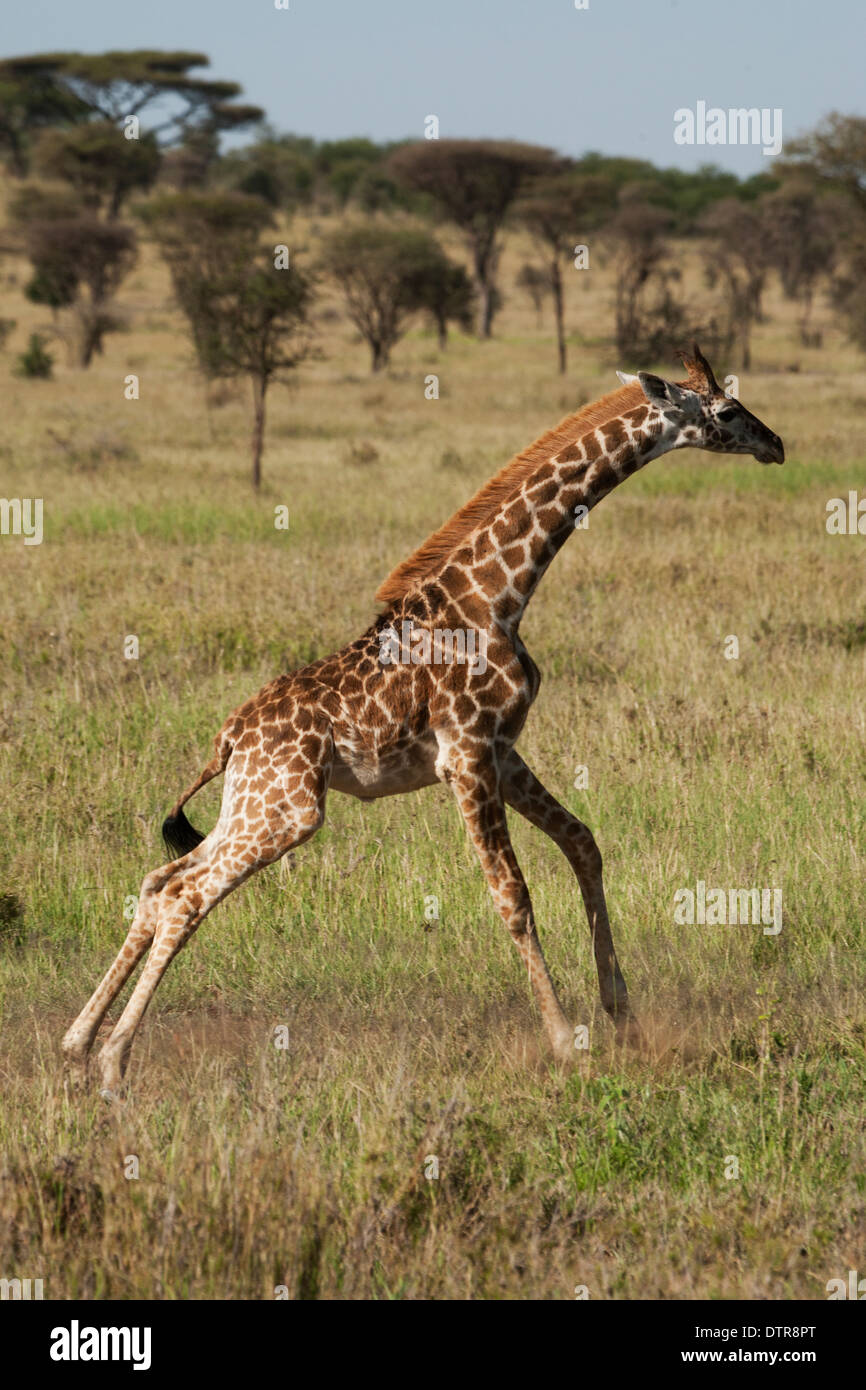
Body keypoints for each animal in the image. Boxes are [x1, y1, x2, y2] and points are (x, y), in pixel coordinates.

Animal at [64, 341, 783, 1089]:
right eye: (728, 410)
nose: (777, 444)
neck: (501, 593)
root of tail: (228, 737)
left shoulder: (500, 749)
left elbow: (583, 843)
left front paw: (625, 1018)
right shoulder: (465, 753)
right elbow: (513, 896)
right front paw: (564, 1041)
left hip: (253, 801)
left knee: (159, 882)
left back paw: (79, 1043)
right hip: (291, 810)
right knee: (187, 894)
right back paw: (114, 1060)